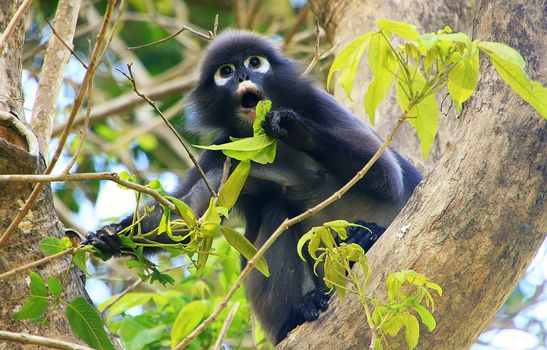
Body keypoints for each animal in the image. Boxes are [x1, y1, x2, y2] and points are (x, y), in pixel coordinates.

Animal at [85, 30, 422, 344]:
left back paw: (365, 237)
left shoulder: (321, 106)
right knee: (277, 213)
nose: (243, 76)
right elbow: (187, 217)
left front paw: (294, 127)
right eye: (226, 71)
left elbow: (387, 175)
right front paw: (112, 235)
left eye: (254, 63)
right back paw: (298, 314)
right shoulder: (225, 151)